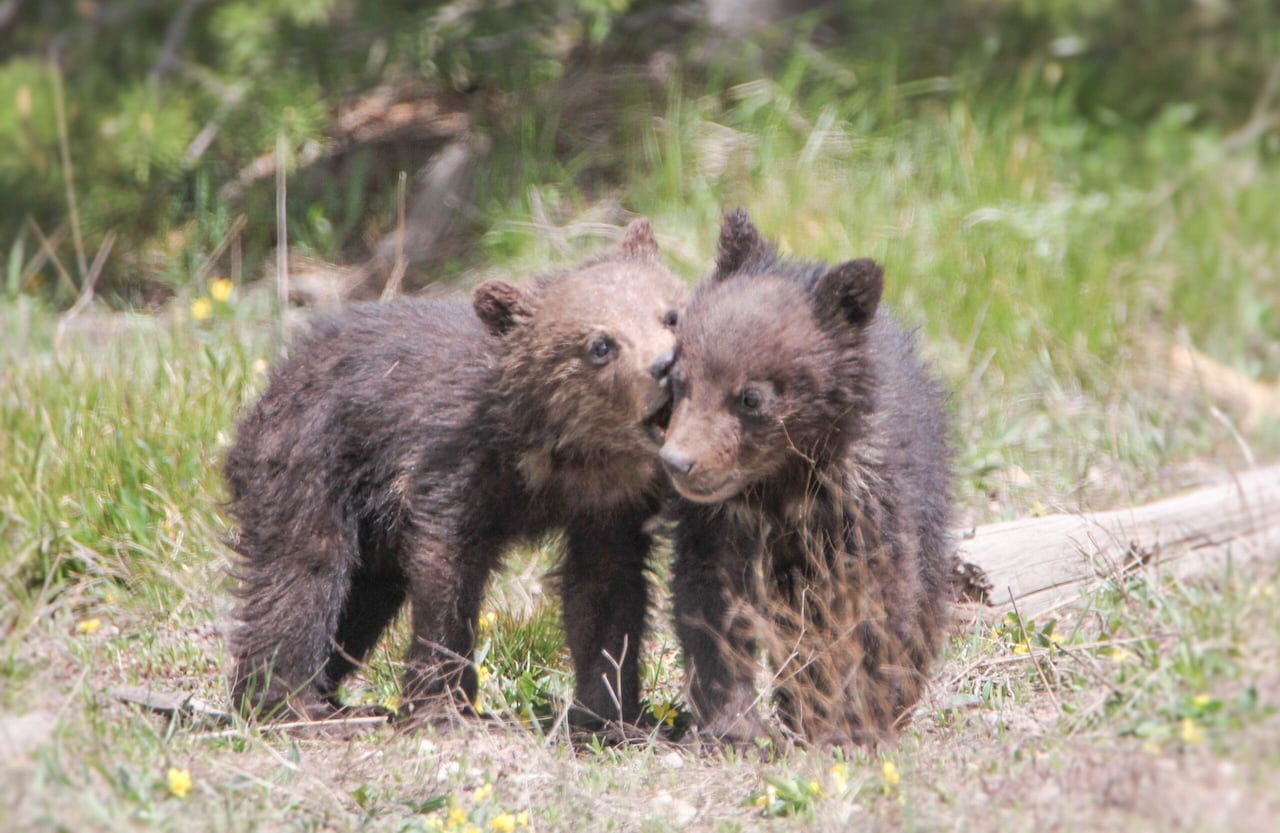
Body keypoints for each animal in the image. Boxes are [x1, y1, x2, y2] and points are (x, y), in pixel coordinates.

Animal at [224, 219, 686, 732]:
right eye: (600, 345)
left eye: (670, 315)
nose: (665, 366)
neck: (560, 450)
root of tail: (277, 376)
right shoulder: (454, 466)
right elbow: (447, 576)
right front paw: (442, 704)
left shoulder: (609, 503)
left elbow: (605, 589)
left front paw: (611, 713)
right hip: (310, 459)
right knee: (304, 570)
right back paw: (290, 703)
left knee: (362, 597)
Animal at [657, 210, 955, 746]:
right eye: (679, 376)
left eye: (751, 397)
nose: (678, 461)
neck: (783, 480)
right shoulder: (719, 522)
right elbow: (712, 605)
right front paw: (734, 723)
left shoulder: (862, 498)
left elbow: (872, 603)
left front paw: (855, 719)